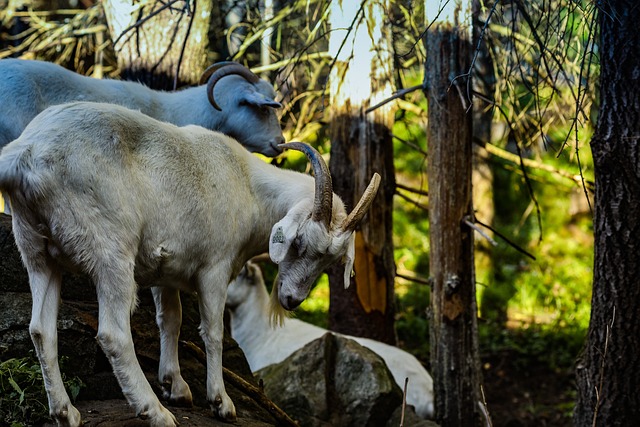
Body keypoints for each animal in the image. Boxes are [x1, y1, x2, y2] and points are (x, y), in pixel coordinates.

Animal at [0, 103, 380, 427]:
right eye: (299, 243)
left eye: (330, 260)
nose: (291, 300)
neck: (248, 186)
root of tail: (26, 151)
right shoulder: (215, 268)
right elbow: (212, 331)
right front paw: (220, 402)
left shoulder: (164, 269)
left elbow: (171, 320)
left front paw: (176, 386)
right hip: (110, 248)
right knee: (112, 333)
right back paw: (154, 411)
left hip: (36, 250)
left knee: (41, 328)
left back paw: (66, 412)